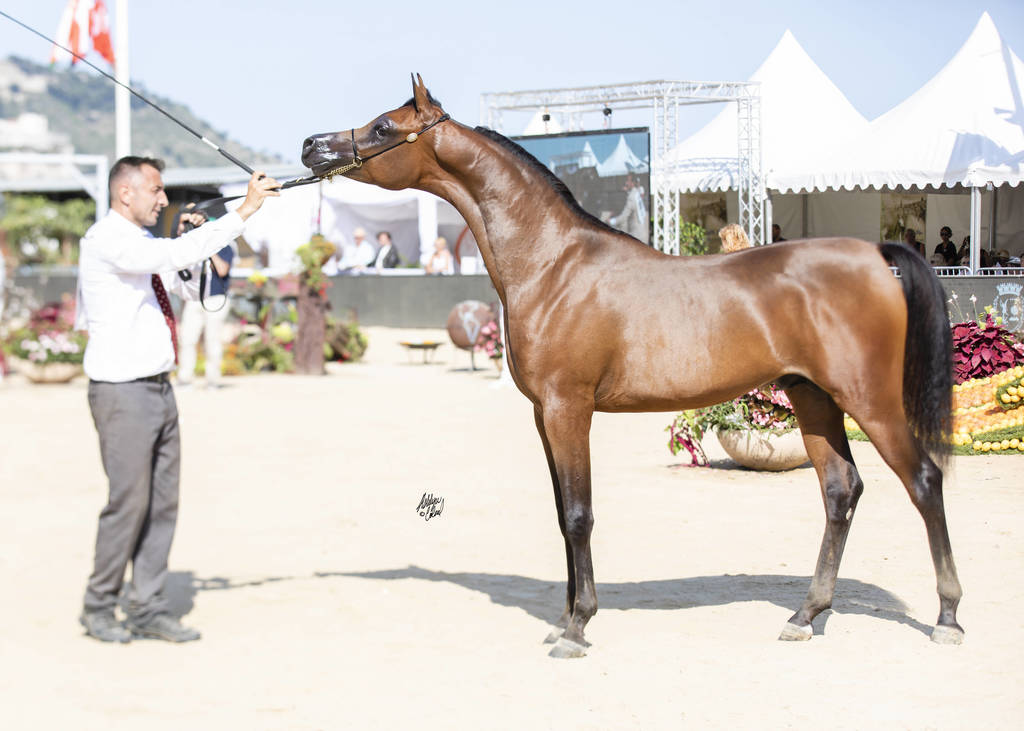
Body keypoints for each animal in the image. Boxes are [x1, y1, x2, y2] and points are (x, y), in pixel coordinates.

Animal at [300, 75, 963, 658]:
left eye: (383, 126)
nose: (311, 146)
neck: (552, 264)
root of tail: (876, 255)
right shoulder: (544, 414)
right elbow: (562, 515)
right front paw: (565, 618)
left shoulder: (569, 408)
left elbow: (578, 515)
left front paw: (577, 629)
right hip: (812, 397)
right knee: (840, 489)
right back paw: (806, 616)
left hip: (870, 400)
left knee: (924, 482)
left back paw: (948, 619)